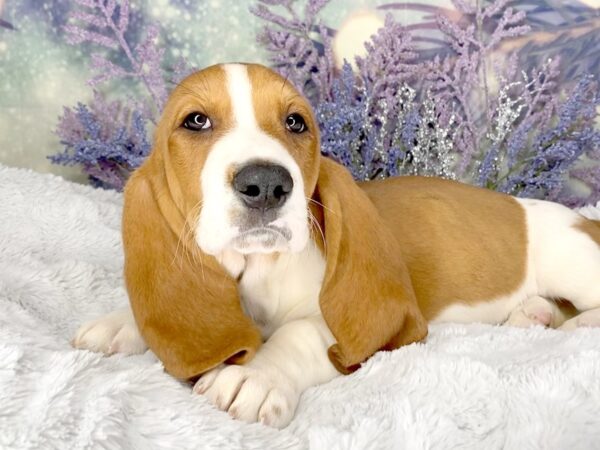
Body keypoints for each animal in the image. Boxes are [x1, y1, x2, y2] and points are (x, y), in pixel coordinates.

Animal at [72, 61, 600, 428]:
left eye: (296, 122)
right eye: (195, 121)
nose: (267, 184)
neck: (257, 269)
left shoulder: (348, 328)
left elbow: (297, 334)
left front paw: (255, 376)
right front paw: (121, 323)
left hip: (573, 263)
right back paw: (533, 314)